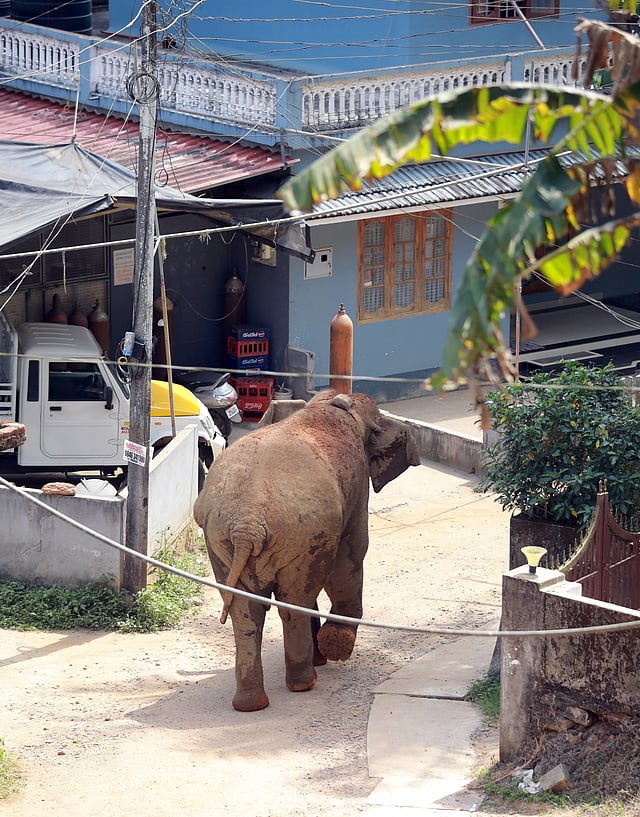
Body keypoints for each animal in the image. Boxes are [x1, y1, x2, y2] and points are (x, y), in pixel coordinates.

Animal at [193, 389, 420, 711]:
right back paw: (304, 683)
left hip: (221, 539)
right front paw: (335, 646)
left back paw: (252, 703)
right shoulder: (355, 488)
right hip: (300, 531)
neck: (331, 403)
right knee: (294, 601)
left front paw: (326, 651)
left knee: (246, 611)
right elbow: (352, 553)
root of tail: (247, 524)